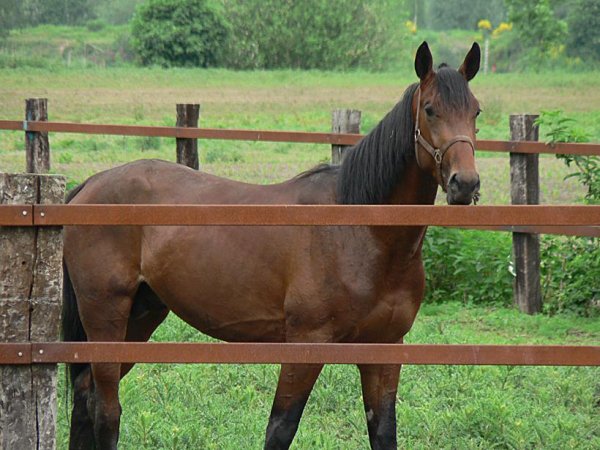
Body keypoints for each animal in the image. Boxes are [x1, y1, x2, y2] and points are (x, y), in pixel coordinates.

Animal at [62, 43, 482, 450]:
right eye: (430, 109)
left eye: (476, 111)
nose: (465, 184)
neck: (362, 234)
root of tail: (90, 184)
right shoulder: (306, 345)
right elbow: (280, 429)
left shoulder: (384, 351)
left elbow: (383, 433)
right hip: (107, 315)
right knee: (107, 413)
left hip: (142, 315)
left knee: (85, 397)